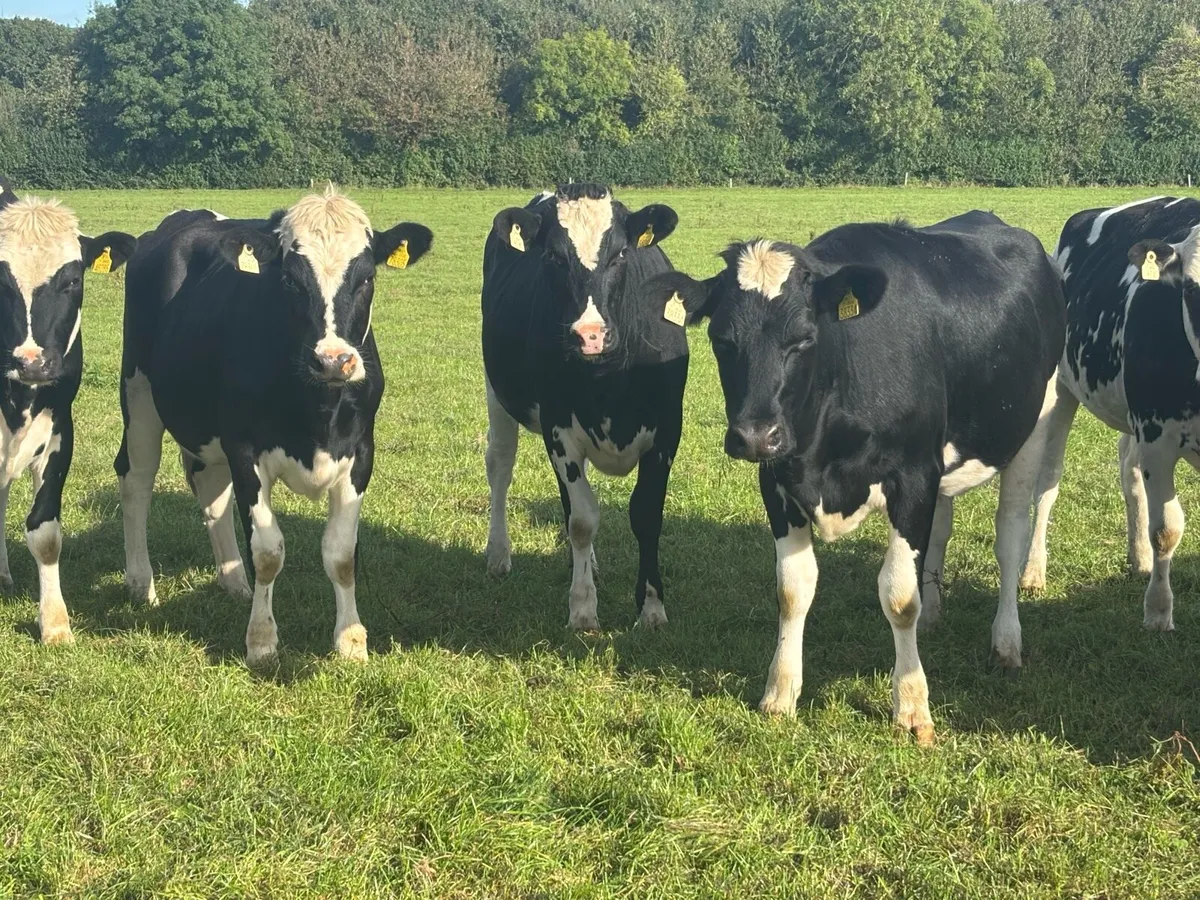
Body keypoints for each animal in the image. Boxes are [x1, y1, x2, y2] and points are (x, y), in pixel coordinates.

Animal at [115, 187, 432, 664]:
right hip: (138, 396)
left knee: (211, 491)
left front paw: (351, 641)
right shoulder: (246, 450)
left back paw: (234, 583)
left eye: (366, 279)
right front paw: (261, 642)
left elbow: (342, 554)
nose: (333, 360)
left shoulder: (361, 453)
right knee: (135, 481)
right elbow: (267, 552)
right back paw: (141, 584)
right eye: (289, 282)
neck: (319, 411)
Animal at [482, 183, 685, 631]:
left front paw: (652, 608)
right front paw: (582, 608)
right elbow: (581, 520)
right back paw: (499, 554)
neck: (606, 379)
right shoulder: (559, 429)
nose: (589, 335)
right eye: (553, 257)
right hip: (497, 393)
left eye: (621, 254)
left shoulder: (666, 430)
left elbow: (646, 515)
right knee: (501, 464)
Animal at [642, 212, 1066, 743]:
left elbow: (899, 597)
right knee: (941, 530)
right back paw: (934, 615)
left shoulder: (912, 477)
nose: (755, 436)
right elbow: (793, 589)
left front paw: (912, 706)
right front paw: (780, 694)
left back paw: (1006, 641)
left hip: (1036, 420)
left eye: (803, 338)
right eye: (722, 340)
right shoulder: (777, 481)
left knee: (1011, 535)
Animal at [1023, 196, 1200, 633]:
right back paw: (1033, 571)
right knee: (1047, 482)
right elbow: (1166, 528)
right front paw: (1158, 613)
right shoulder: (1156, 435)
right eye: (1190, 288)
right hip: (1059, 391)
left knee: (1128, 470)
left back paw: (1140, 558)